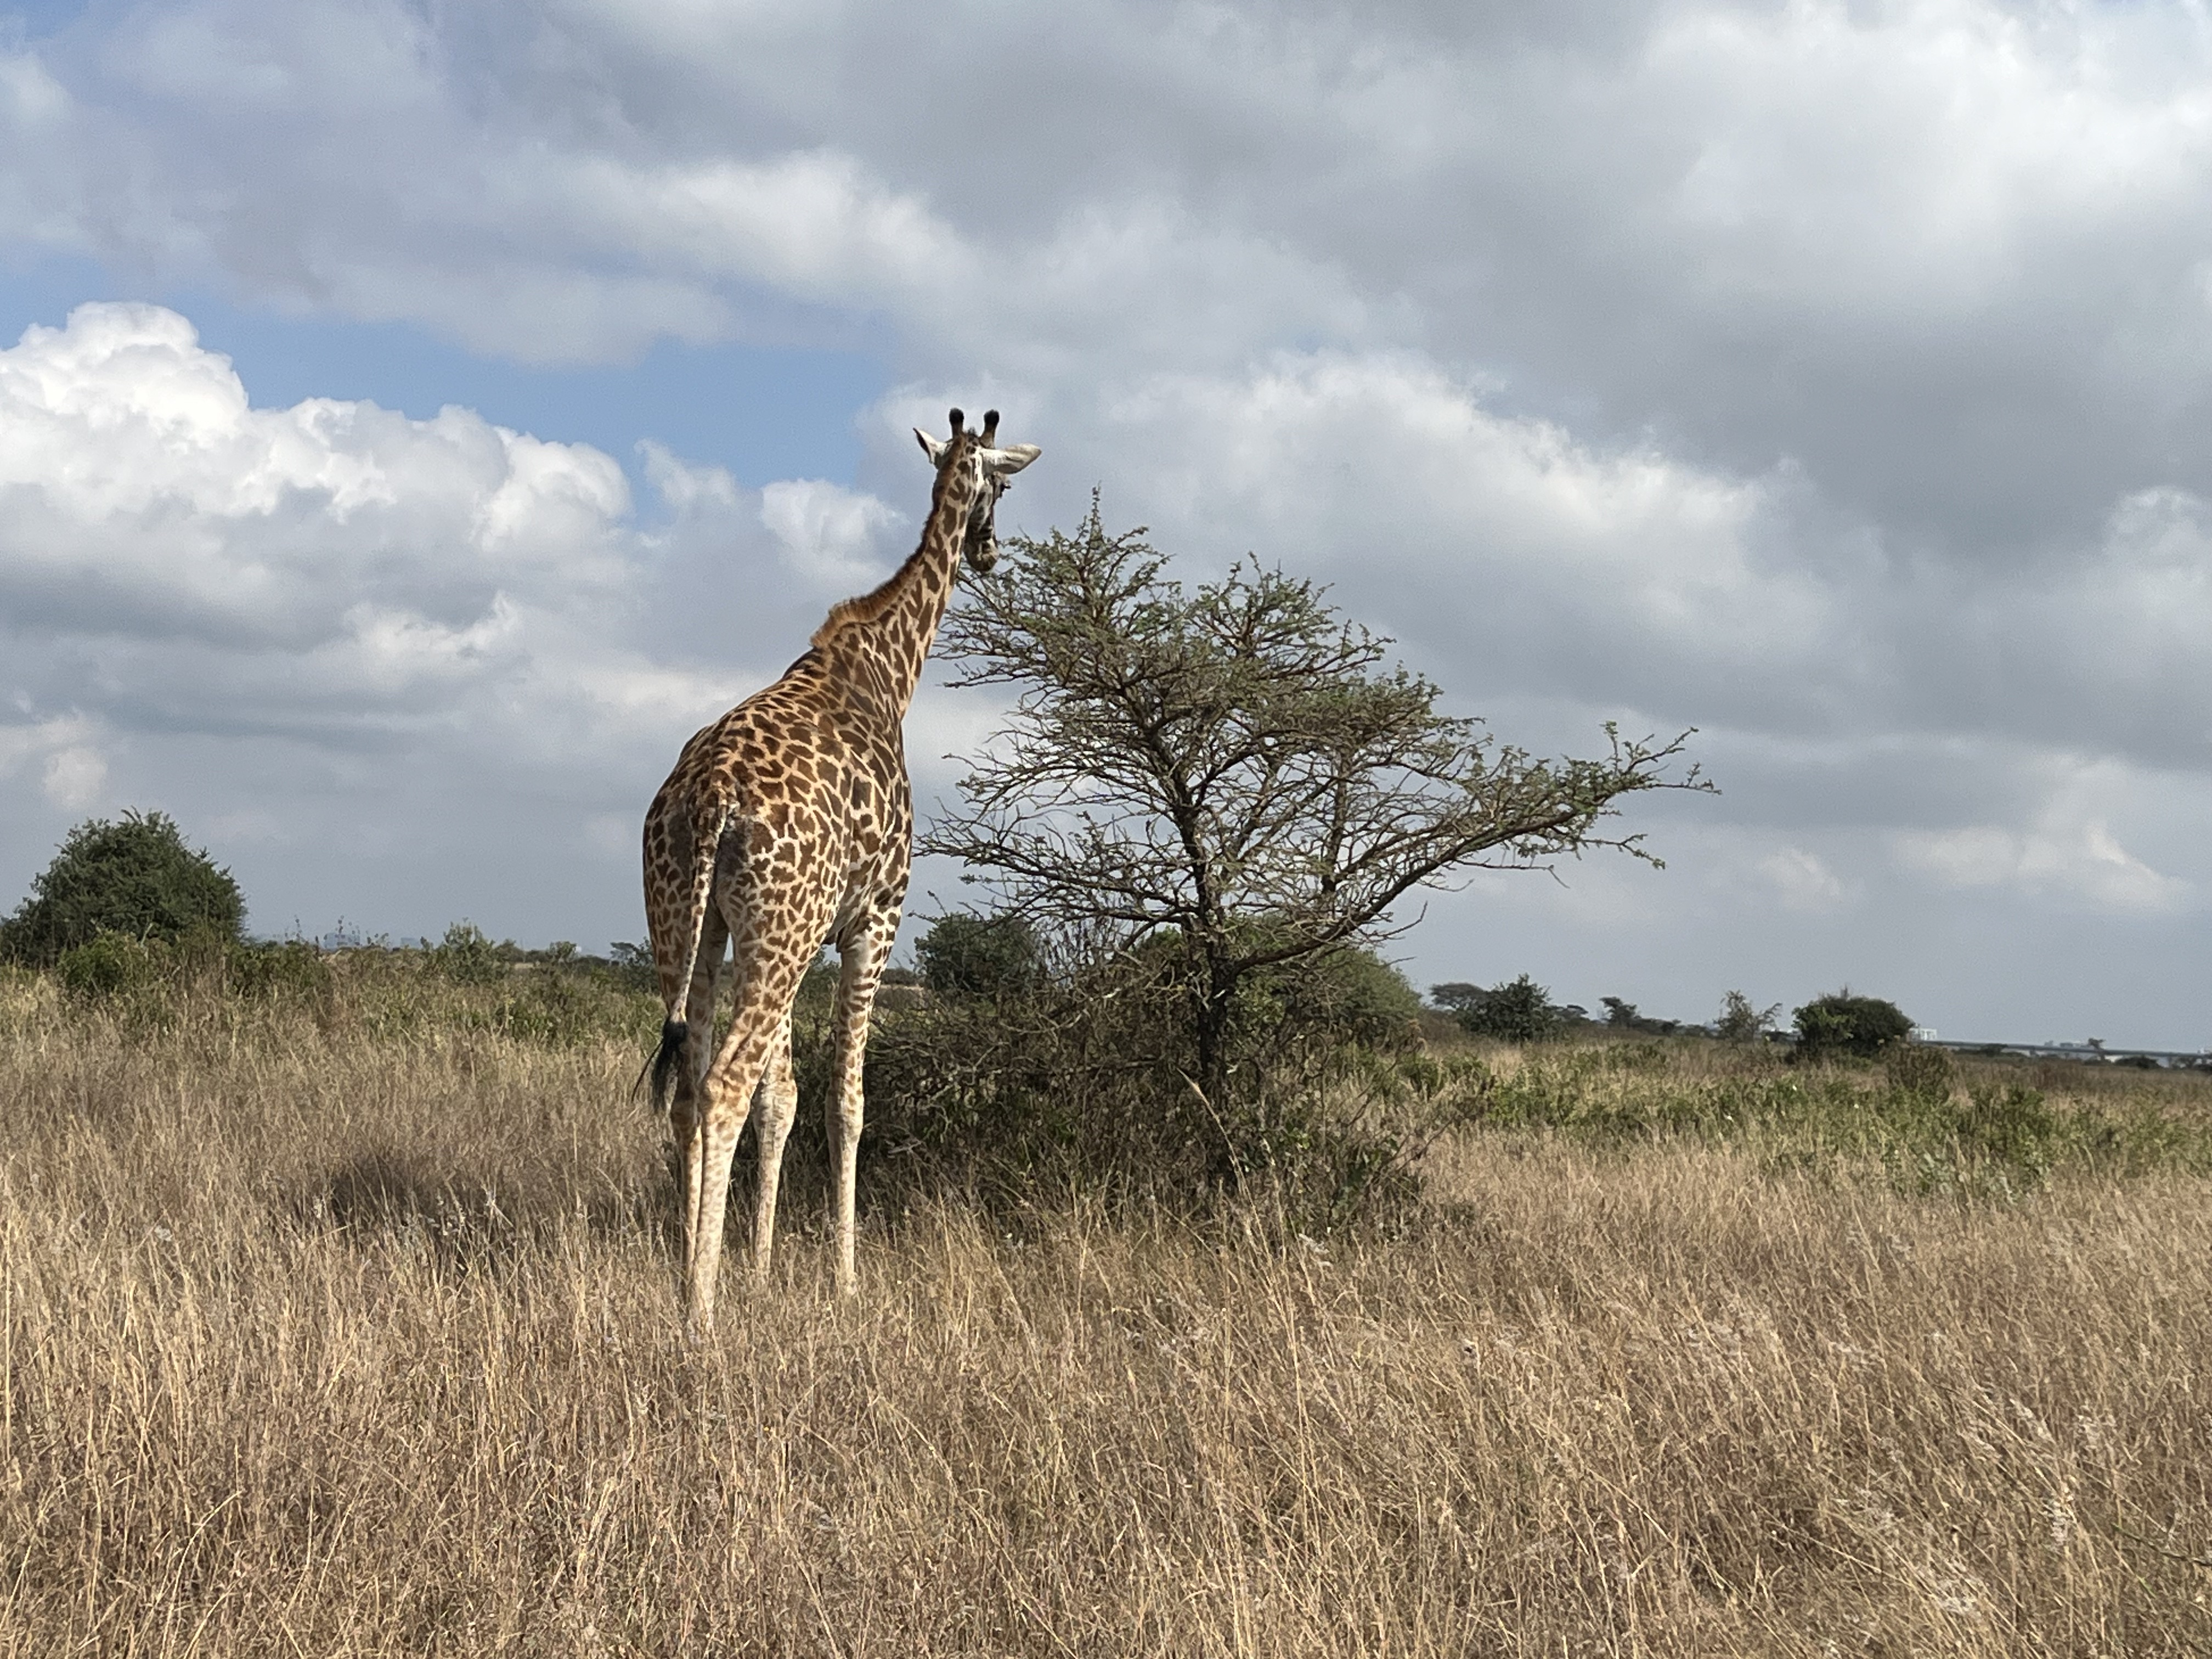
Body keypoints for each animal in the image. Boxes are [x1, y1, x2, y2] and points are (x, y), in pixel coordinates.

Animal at [641, 407, 1040, 1326]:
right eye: (1004, 486)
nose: (990, 552)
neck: (890, 673)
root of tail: (708, 799)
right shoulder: (873, 918)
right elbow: (847, 1100)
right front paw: (845, 1277)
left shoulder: (793, 928)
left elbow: (782, 1098)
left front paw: (757, 1268)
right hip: (778, 931)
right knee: (721, 1086)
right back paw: (699, 1311)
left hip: (693, 923)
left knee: (691, 1083)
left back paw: (687, 1271)